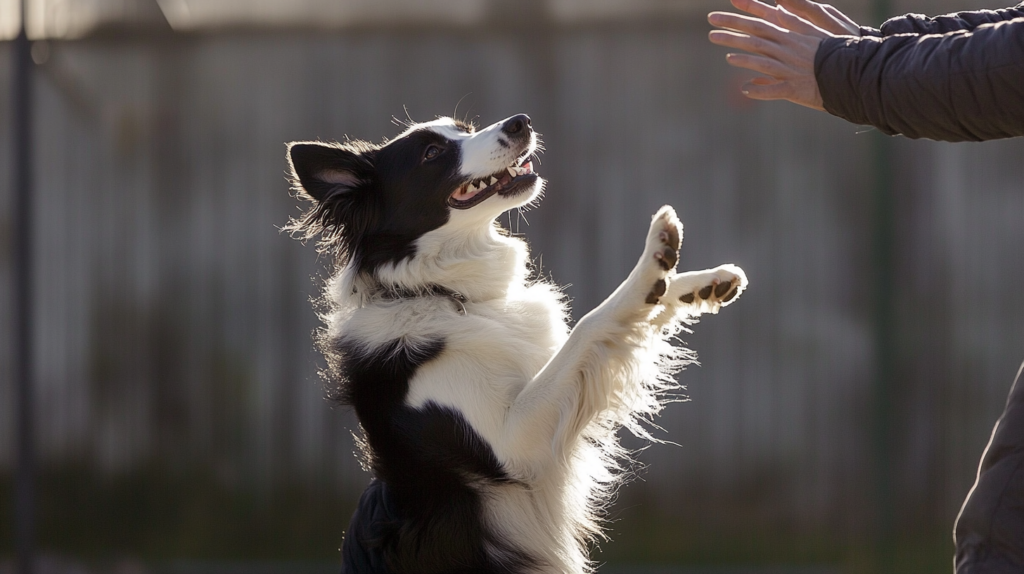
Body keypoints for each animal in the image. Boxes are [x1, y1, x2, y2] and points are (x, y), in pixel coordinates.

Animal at [284, 114, 749, 568]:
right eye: (431, 153)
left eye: (465, 130)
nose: (520, 122)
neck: (438, 292)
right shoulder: (513, 446)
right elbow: (592, 323)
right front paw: (653, 262)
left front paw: (697, 283)